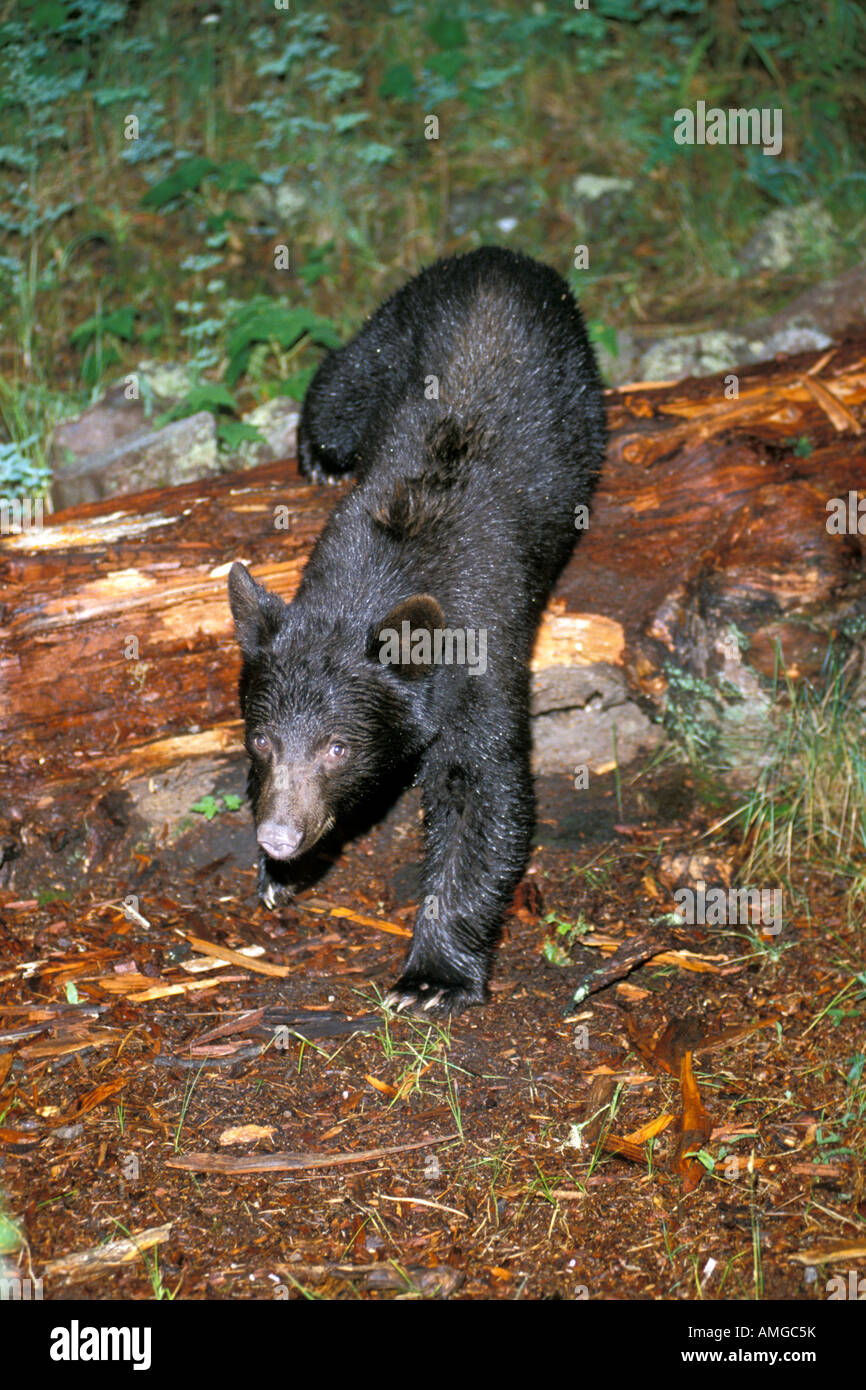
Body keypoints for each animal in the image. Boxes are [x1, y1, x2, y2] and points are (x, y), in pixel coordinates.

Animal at [228, 245, 606, 1015]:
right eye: (260, 740)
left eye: (339, 747)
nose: (279, 837)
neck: (375, 578)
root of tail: (498, 256)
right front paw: (282, 875)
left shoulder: (477, 655)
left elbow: (480, 791)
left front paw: (432, 977)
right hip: (396, 331)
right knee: (340, 394)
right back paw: (318, 456)